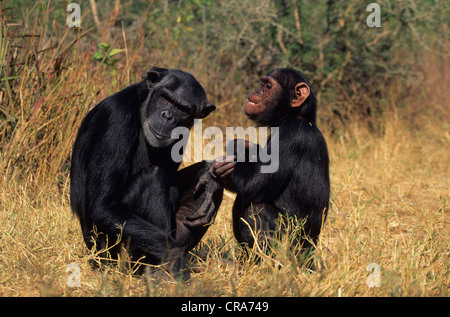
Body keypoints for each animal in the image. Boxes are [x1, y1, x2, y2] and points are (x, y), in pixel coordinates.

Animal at [70, 65, 223, 278]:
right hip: (110, 252)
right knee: (153, 177)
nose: (168, 115)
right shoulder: (116, 119)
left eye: (183, 109)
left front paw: (209, 177)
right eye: (166, 99)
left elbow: (174, 179)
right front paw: (175, 257)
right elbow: (103, 205)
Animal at [211, 67, 330, 262]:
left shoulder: (290, 136)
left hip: (293, 249)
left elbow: (252, 183)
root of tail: (310, 258)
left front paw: (235, 146)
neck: (293, 116)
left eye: (268, 86)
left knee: (256, 209)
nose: (257, 91)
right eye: (262, 83)